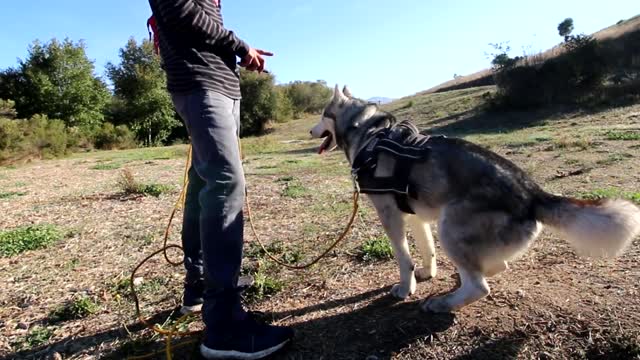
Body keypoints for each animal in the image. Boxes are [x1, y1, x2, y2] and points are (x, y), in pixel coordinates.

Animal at [310, 84, 640, 312]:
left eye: (321, 114)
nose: (312, 131)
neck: (369, 133)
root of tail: (532, 192)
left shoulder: (390, 215)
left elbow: (404, 260)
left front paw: (407, 288)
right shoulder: (415, 216)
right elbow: (427, 250)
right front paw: (428, 273)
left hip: (450, 226)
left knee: (481, 286)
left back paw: (443, 303)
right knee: (493, 267)